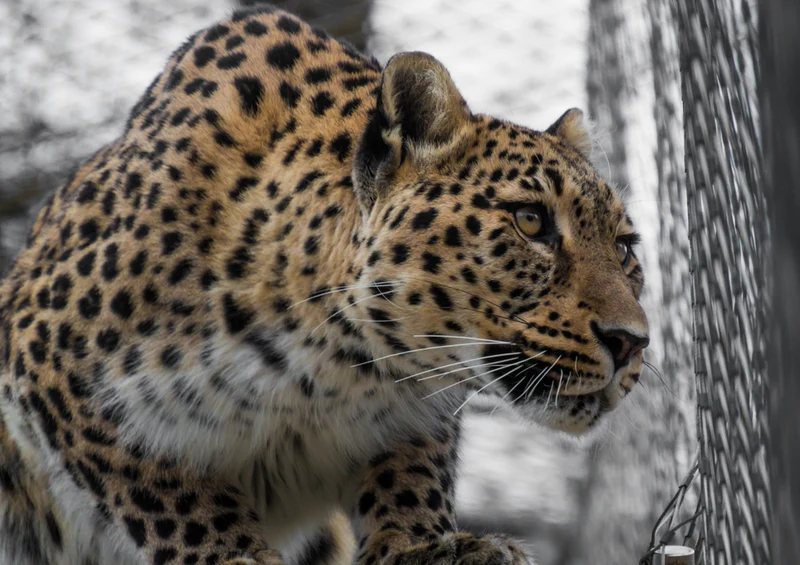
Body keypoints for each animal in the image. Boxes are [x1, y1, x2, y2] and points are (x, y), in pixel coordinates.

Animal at [0, 5, 649, 565]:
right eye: (531, 221)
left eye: (624, 249)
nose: (631, 342)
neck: (333, 367)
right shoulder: (47, 364)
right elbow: (166, 489)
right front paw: (232, 554)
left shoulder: (414, 414)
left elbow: (411, 474)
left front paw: (424, 547)